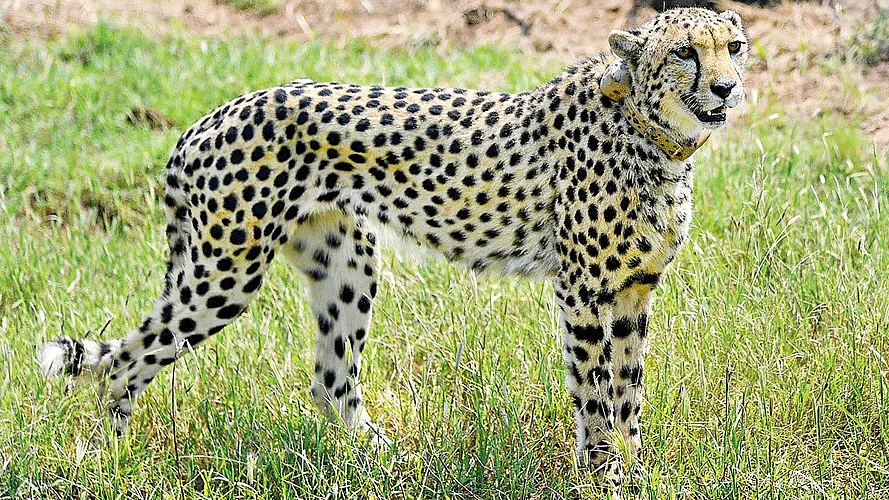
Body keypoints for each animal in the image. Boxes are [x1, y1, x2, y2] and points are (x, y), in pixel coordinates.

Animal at [38, 7, 748, 480]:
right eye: (685, 53)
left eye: (734, 46)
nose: (726, 87)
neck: (654, 135)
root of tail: (209, 116)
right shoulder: (583, 290)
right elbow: (596, 393)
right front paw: (604, 474)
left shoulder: (633, 291)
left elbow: (629, 393)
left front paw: (637, 469)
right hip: (225, 273)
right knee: (128, 358)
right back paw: (109, 458)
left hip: (346, 262)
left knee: (330, 379)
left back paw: (383, 460)